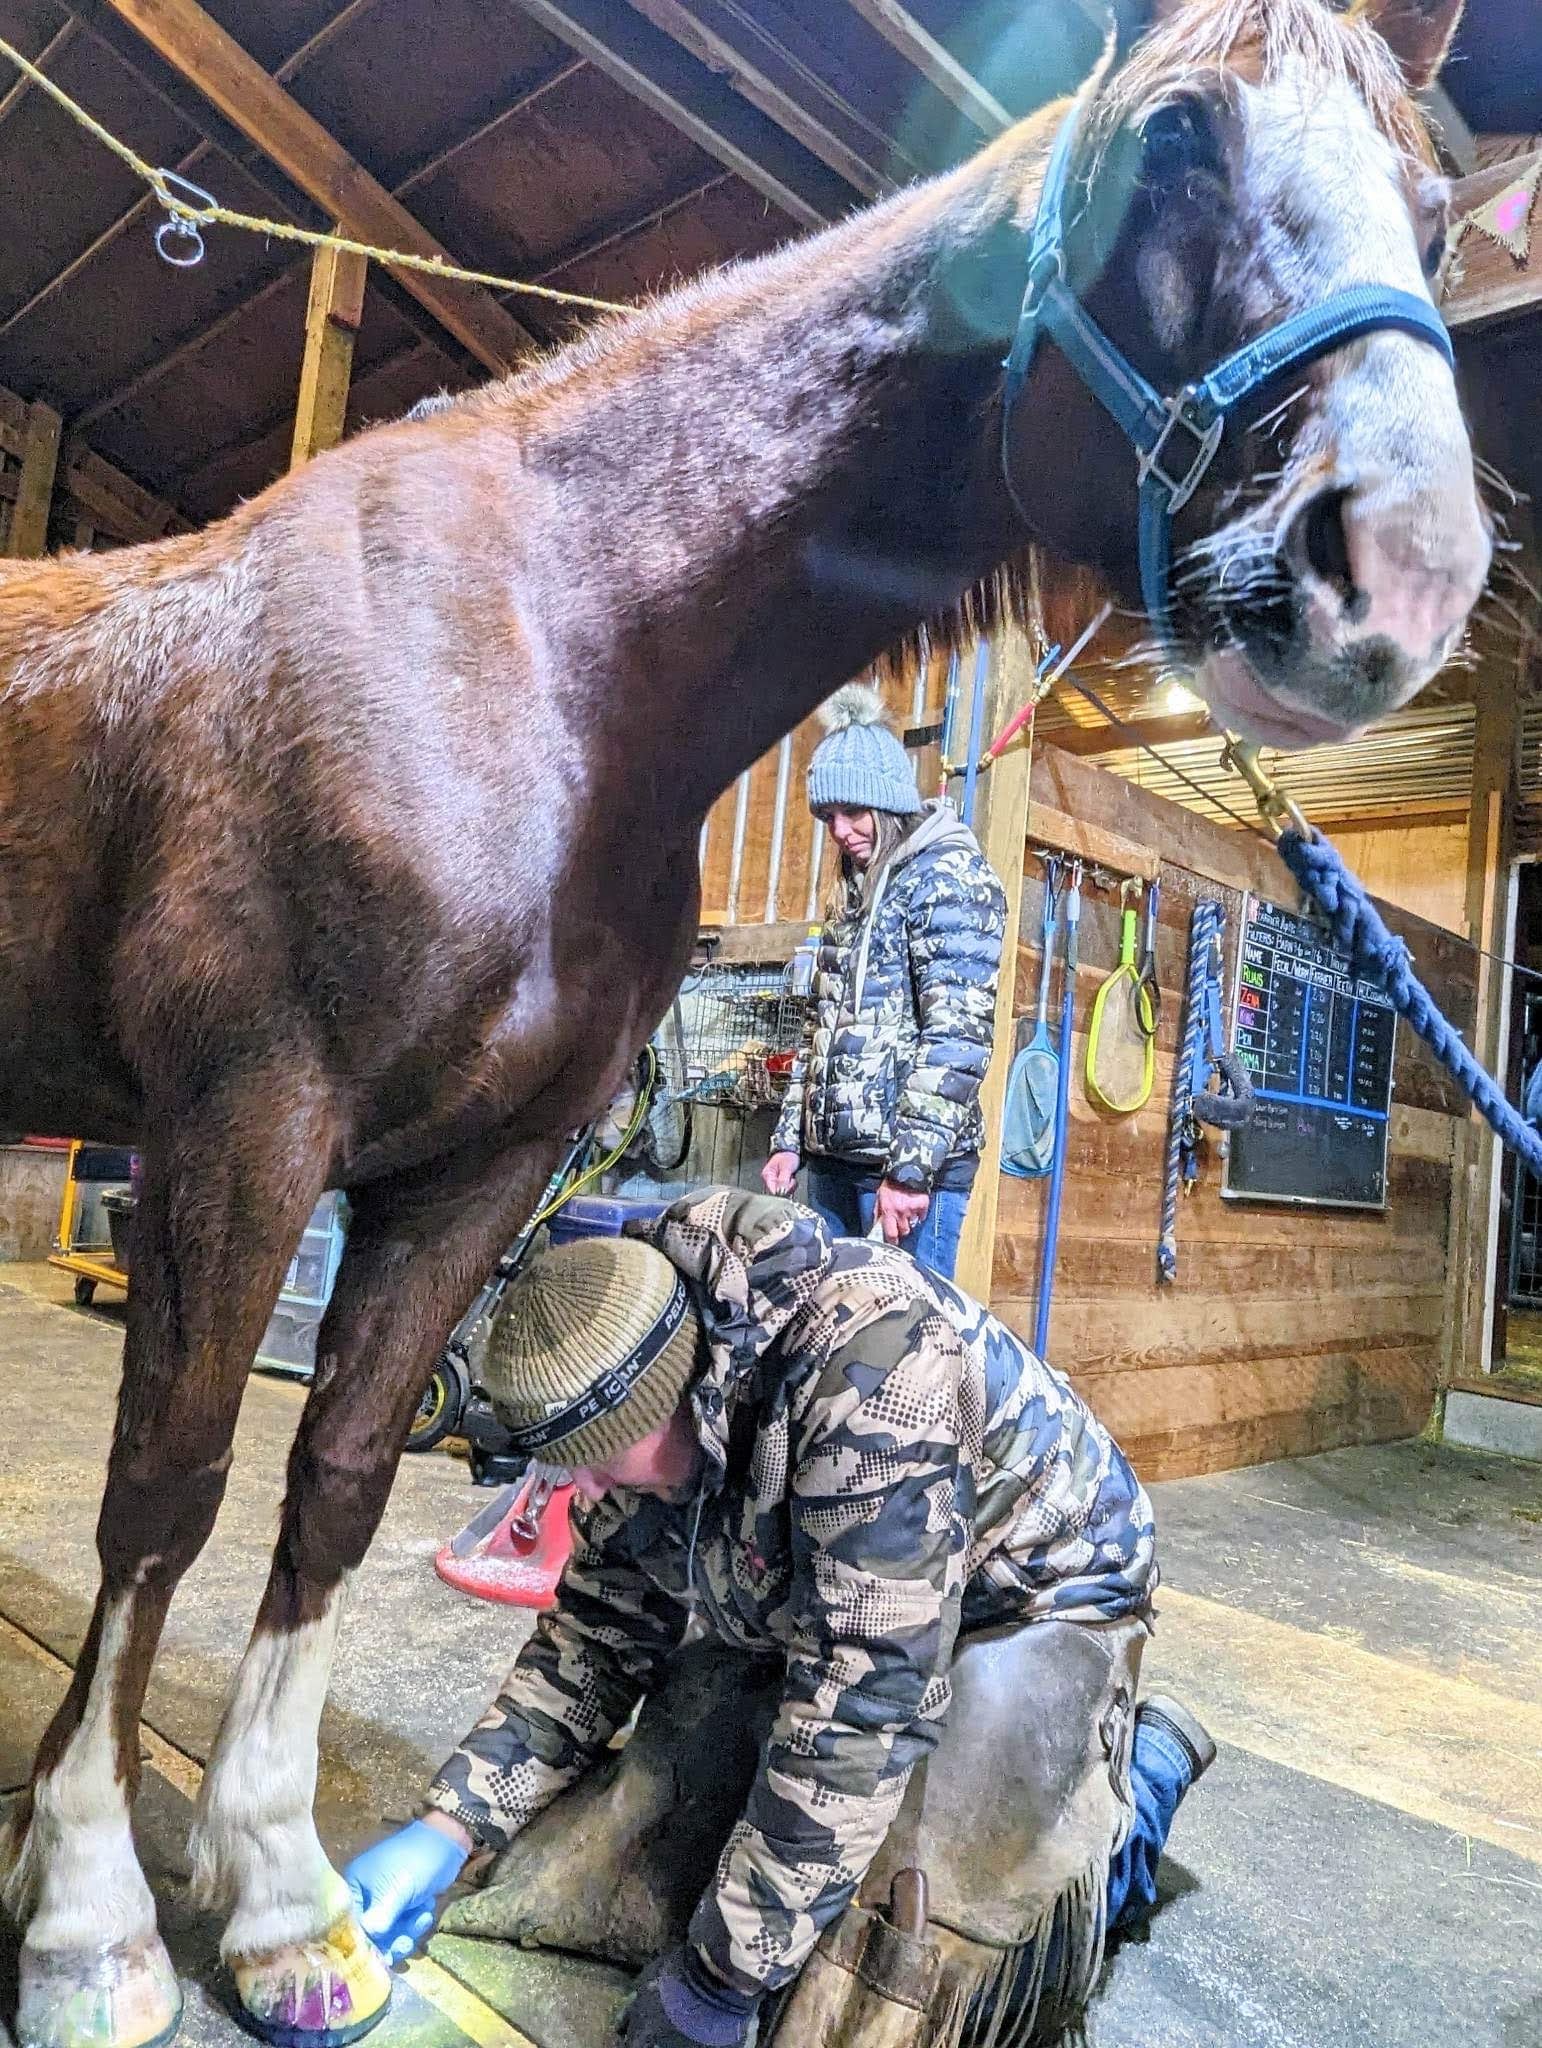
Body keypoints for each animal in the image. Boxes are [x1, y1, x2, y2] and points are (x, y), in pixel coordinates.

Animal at [0, 2, 1488, 2045]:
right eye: (1178, 130)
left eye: (1435, 211)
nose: (1394, 566)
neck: (535, 658)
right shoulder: (244, 1127)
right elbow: (165, 1492)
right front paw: (90, 1924)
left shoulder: (474, 1167)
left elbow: (340, 1475)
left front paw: (291, 1907)